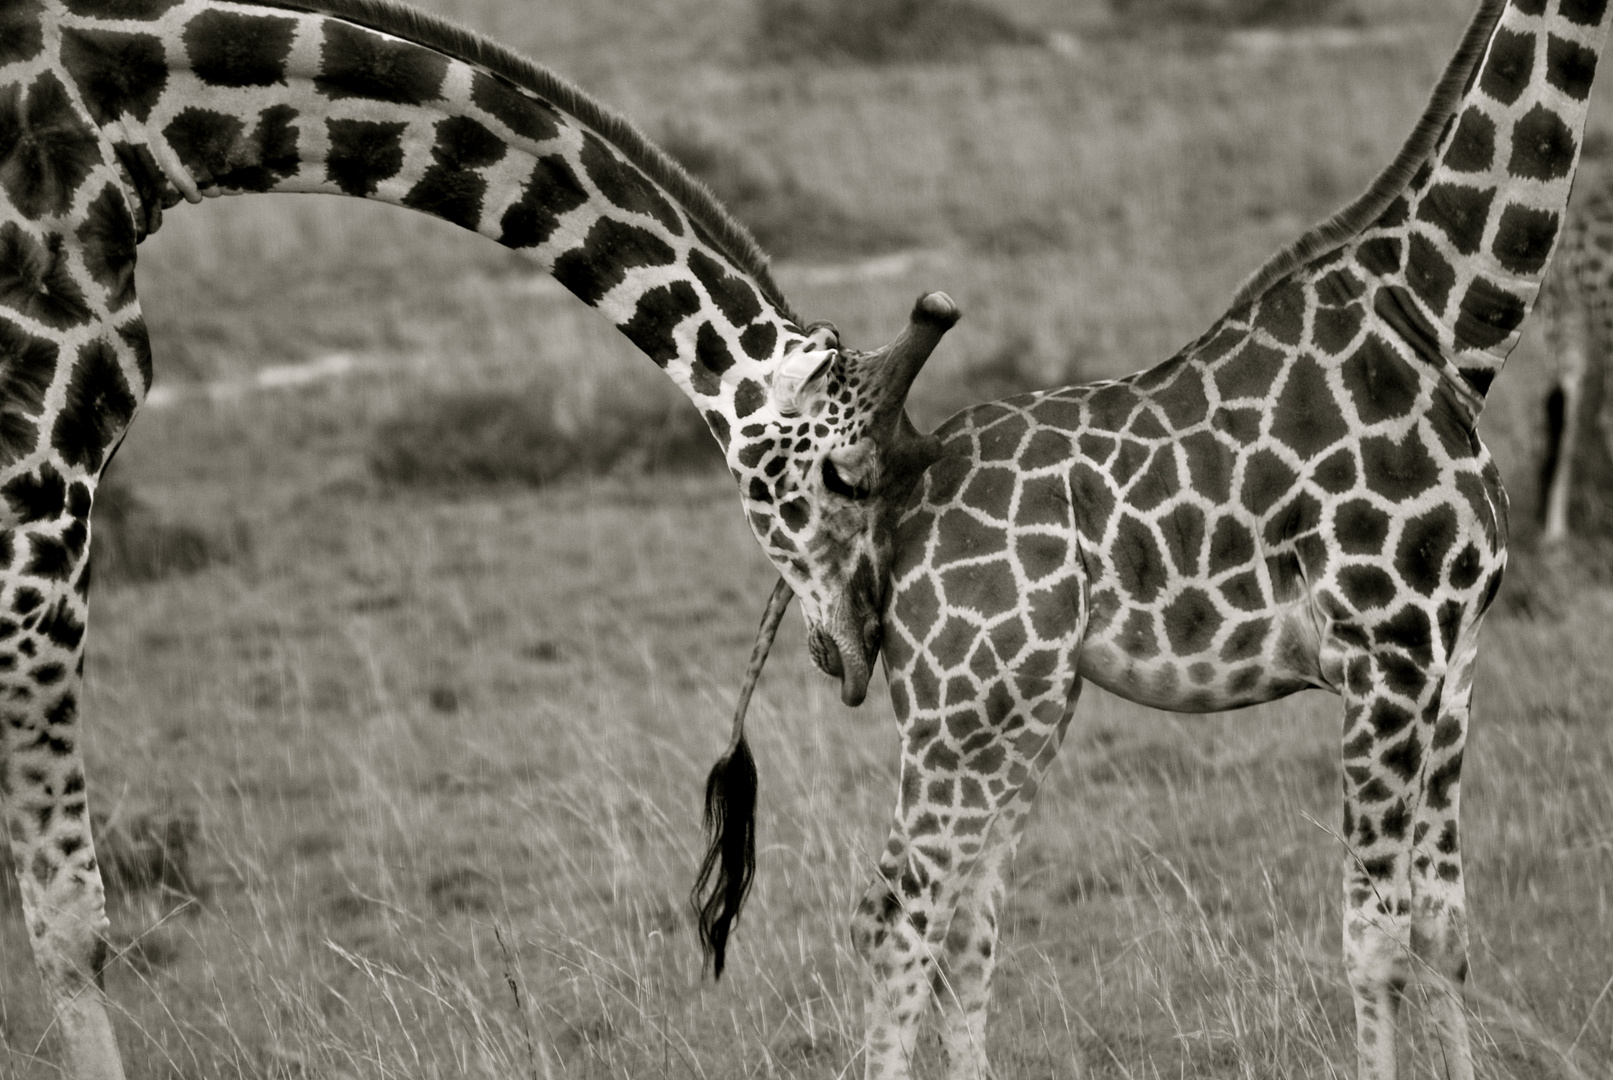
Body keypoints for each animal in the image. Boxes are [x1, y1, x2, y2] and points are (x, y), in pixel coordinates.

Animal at [838, 2, 1606, 1080]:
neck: (1438, 323)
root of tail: (899, 506)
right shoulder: (1385, 660)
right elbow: (1373, 942)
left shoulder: (1451, 667)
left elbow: (1442, 932)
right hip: (958, 712)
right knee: (897, 914)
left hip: (1018, 713)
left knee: (963, 920)